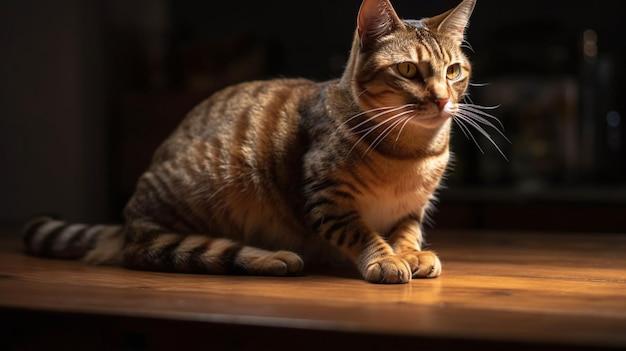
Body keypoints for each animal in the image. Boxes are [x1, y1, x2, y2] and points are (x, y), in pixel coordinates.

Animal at [23, 0, 482, 284]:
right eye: (407, 70)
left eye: (454, 70)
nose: (442, 100)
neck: (413, 151)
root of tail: (126, 224)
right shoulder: (325, 197)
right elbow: (361, 232)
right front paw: (386, 258)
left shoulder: (412, 206)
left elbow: (407, 230)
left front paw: (409, 253)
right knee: (164, 250)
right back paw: (272, 257)